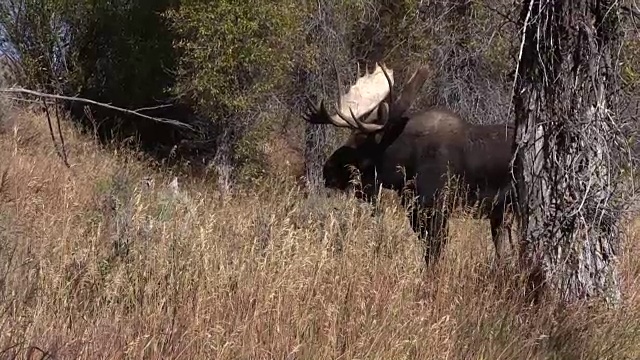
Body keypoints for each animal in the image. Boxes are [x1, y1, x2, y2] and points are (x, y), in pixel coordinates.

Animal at [302, 62, 516, 266]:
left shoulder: (436, 206)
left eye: (361, 141)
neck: (405, 161)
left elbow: (435, 253)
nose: (327, 171)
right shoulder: (414, 208)